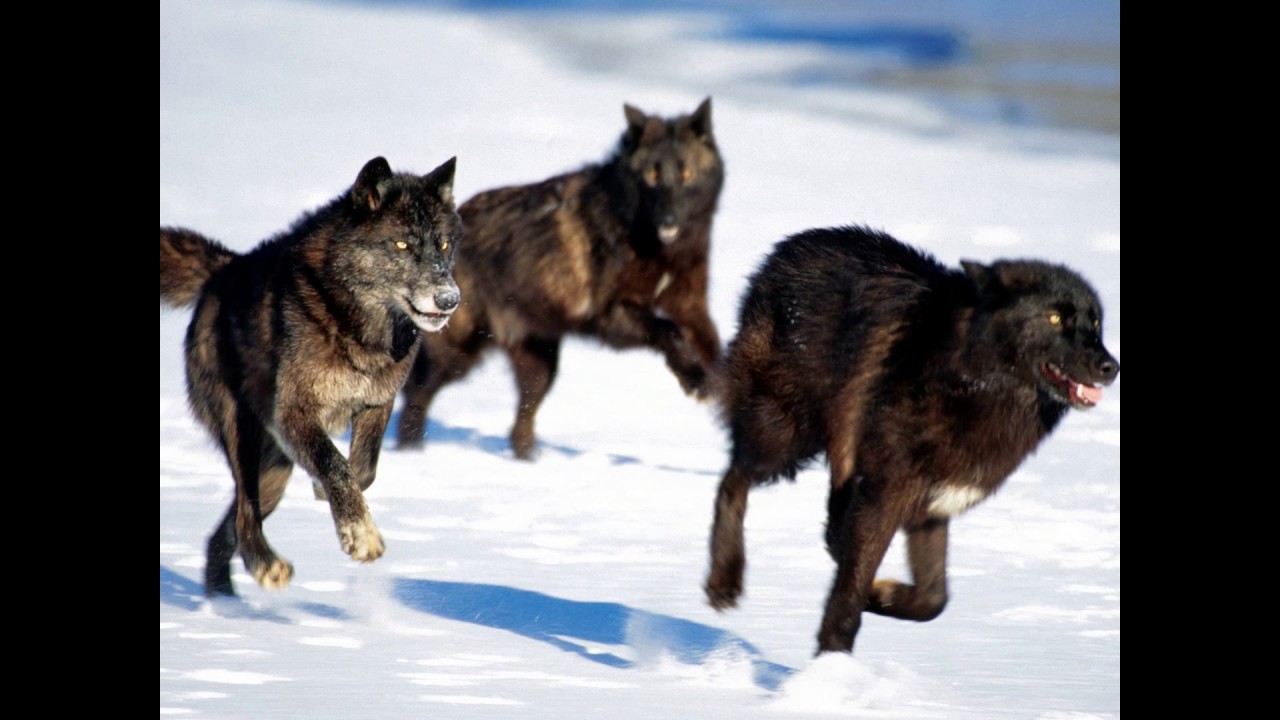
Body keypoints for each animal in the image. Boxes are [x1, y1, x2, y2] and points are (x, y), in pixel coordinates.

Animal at [160, 156, 462, 596]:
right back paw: (265, 566)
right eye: (402, 245)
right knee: (244, 511)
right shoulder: (294, 413)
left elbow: (362, 469)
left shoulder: (377, 402)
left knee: (223, 531)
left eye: (443, 244)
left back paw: (224, 601)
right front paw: (360, 535)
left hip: (275, 470)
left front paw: (333, 500)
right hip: (243, 434)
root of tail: (223, 269)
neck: (357, 325)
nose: (449, 298)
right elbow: (335, 463)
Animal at [395, 98, 725, 460]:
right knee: (416, 393)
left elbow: (713, 347)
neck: (654, 245)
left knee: (520, 423)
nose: (669, 220)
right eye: (652, 175)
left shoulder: (691, 306)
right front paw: (695, 381)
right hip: (458, 353)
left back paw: (528, 462)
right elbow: (667, 330)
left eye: (686, 174)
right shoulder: (610, 316)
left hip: (541, 364)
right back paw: (410, 452)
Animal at [703, 225, 1119, 655]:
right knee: (732, 482)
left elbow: (932, 599)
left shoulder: (932, 507)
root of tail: (784, 249)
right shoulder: (885, 497)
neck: (970, 381)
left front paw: (881, 594)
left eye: (1096, 323)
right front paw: (832, 661)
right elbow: (850, 597)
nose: (1111, 367)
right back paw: (724, 581)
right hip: (784, 438)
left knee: (827, 528)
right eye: (1054, 318)